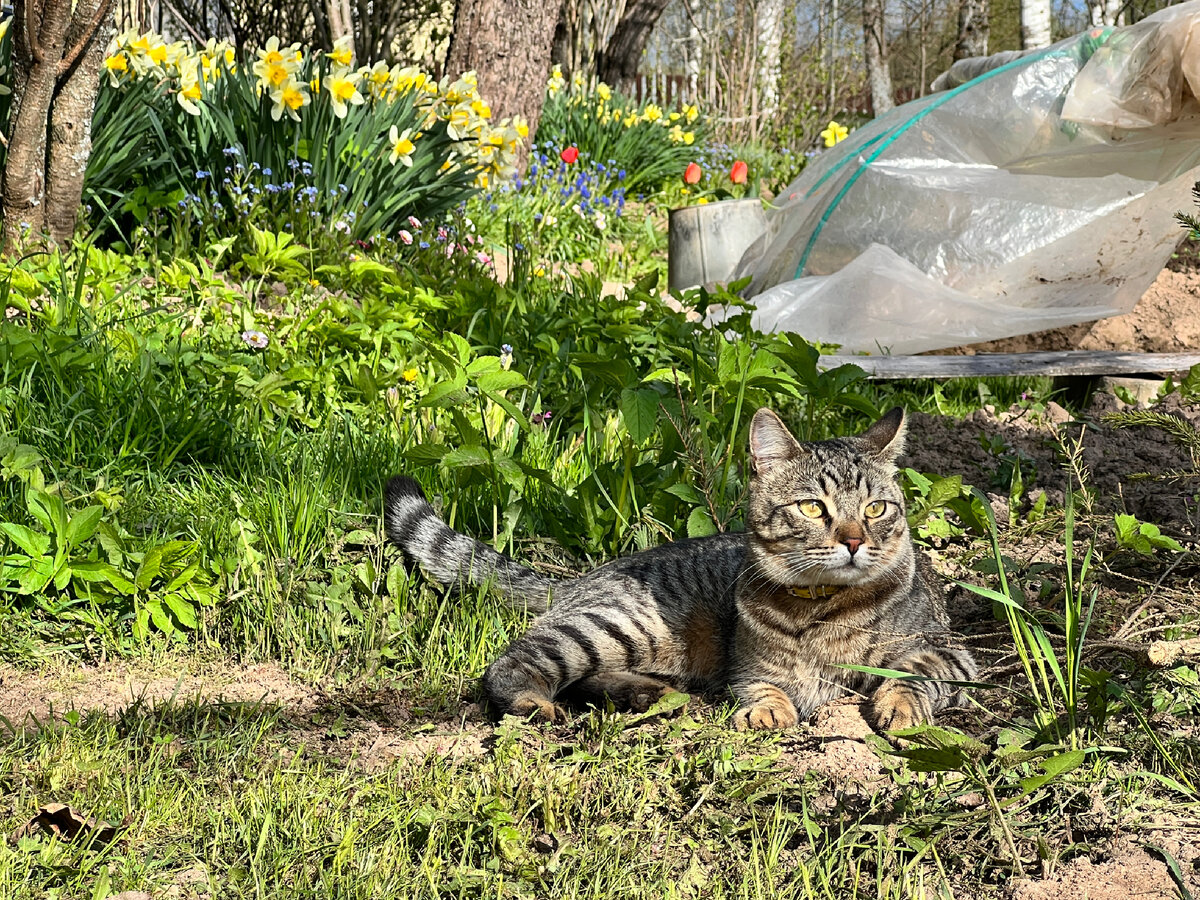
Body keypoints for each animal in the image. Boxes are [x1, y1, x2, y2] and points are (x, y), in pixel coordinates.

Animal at [384, 408, 974, 734]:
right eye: (812, 508)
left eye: (876, 509)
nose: (854, 541)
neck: (822, 607)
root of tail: (580, 578)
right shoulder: (750, 668)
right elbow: (763, 688)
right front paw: (769, 711)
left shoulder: (950, 654)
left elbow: (911, 674)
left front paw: (897, 706)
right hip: (613, 627)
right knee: (511, 664)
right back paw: (536, 703)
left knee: (583, 680)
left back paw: (647, 695)